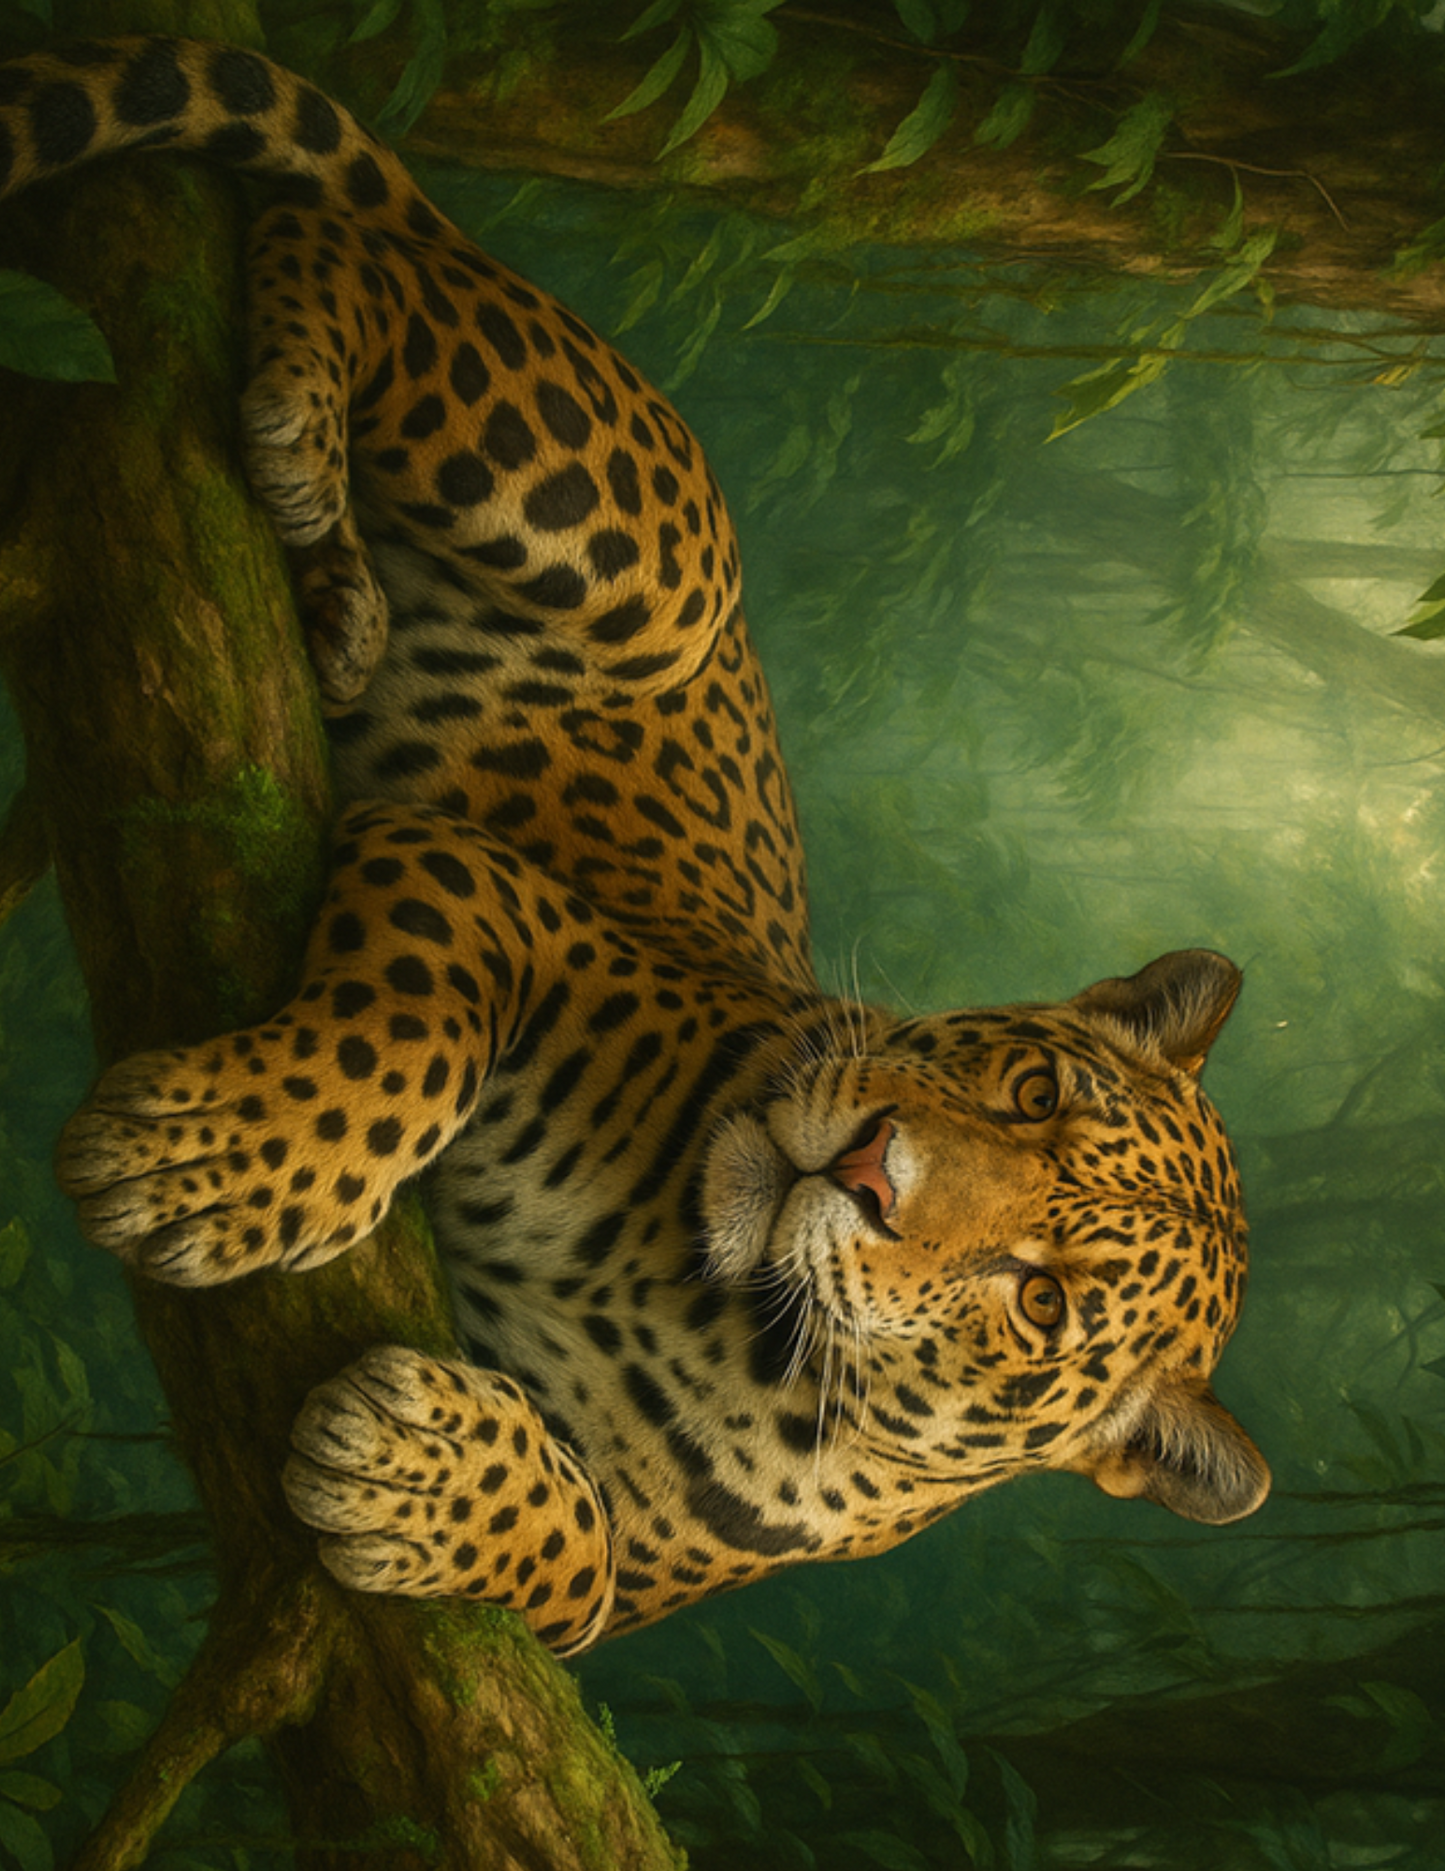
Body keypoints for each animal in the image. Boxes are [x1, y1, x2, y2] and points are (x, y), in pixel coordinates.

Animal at [0, 35, 1269, 1658]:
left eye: (1038, 1302)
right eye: (1032, 1090)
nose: (867, 1166)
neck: (714, 1310)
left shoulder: (633, 1589)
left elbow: (571, 1550)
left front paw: (394, 1460)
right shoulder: (481, 885)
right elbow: (402, 1044)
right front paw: (203, 1163)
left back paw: (336, 596)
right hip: (624, 544)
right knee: (340, 249)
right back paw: (299, 431)